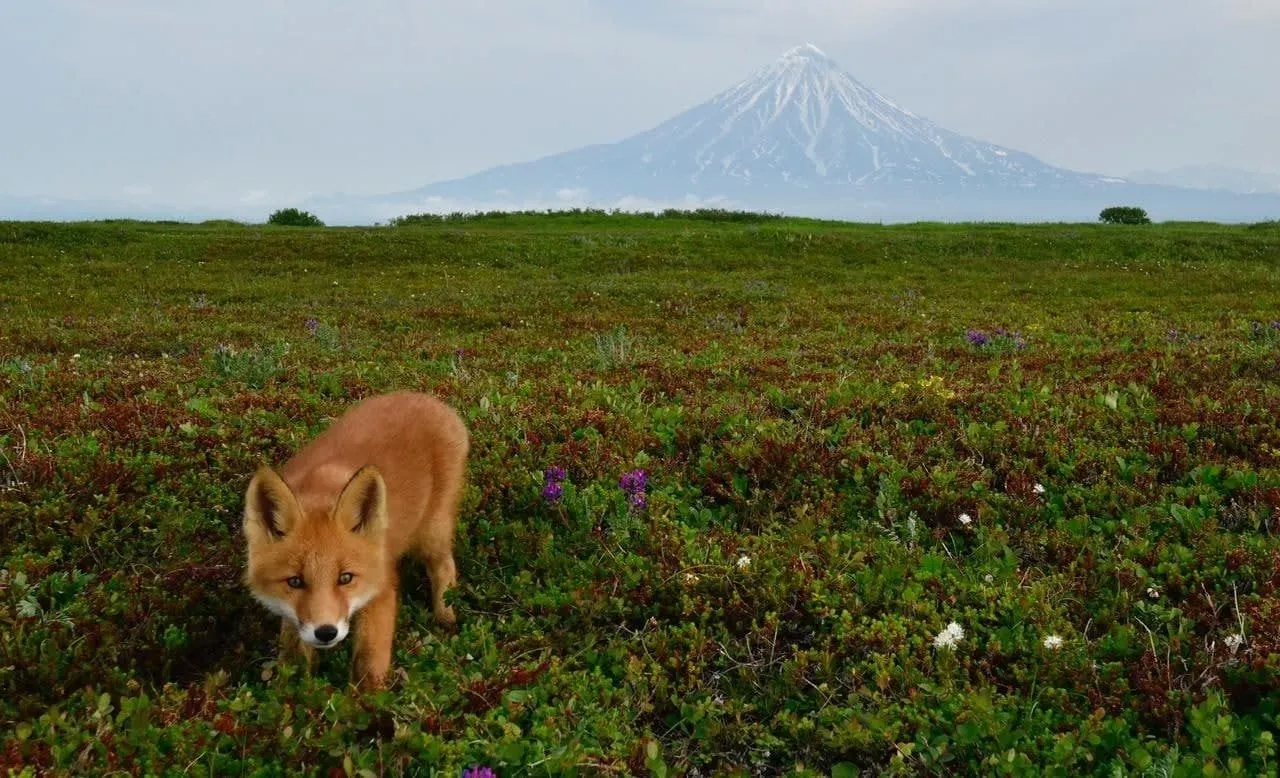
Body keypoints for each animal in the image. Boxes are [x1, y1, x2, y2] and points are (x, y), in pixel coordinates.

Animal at [238, 391, 468, 690]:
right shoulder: (293, 617)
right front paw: (292, 692)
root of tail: (429, 399)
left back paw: (445, 618)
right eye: (295, 581)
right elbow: (293, 657)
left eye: (345, 578)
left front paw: (368, 701)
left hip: (431, 532)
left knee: (444, 567)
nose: (326, 632)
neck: (319, 493)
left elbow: (368, 664)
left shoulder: (381, 588)